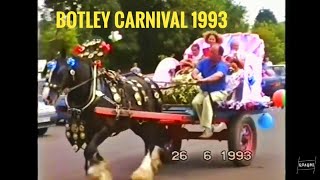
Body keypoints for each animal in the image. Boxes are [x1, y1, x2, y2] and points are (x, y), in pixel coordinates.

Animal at [43, 55, 172, 179]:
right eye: (48, 72)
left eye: (60, 72)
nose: (46, 97)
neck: (93, 97)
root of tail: (149, 81)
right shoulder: (88, 131)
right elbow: (92, 150)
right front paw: (99, 168)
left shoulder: (105, 129)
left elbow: (89, 150)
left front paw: (96, 171)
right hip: (137, 124)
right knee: (150, 141)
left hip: (148, 121)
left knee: (150, 142)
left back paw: (143, 171)